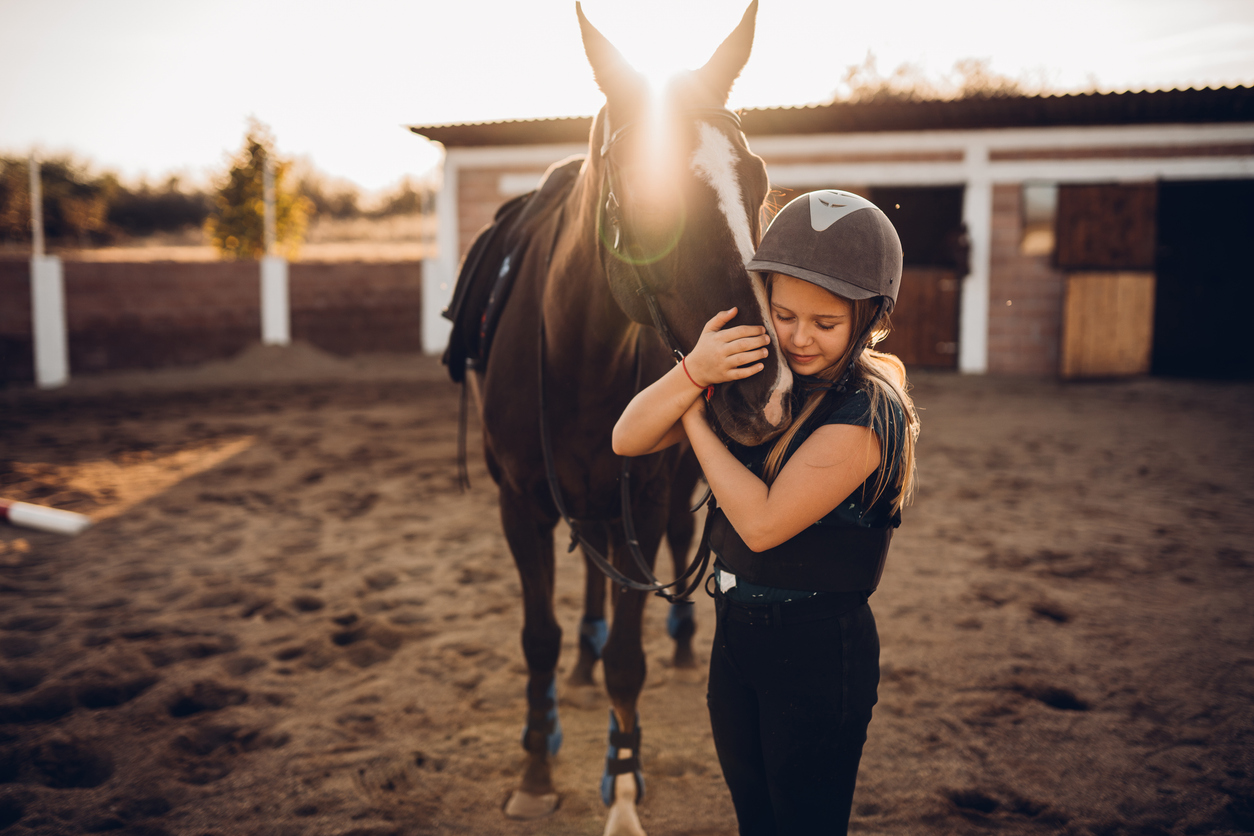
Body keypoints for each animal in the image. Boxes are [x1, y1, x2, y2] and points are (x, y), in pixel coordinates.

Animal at [471, 3, 792, 833]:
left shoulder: (641, 499)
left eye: (757, 179)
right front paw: (537, 766)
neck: (579, 356)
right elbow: (539, 637)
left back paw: (676, 645)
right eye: (647, 187)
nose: (767, 390)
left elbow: (629, 659)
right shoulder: (518, 504)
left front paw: (621, 786)